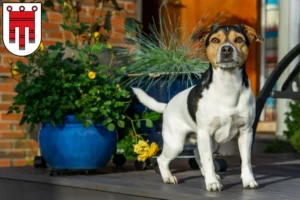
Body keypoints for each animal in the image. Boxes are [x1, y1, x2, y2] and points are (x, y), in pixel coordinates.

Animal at [132, 24, 262, 191]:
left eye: (238, 39)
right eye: (215, 40)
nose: (227, 49)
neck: (228, 85)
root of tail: (167, 105)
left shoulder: (245, 132)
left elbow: (246, 161)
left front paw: (248, 180)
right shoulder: (205, 133)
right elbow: (209, 160)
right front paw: (212, 183)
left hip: (211, 142)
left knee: (197, 153)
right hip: (176, 143)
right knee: (163, 159)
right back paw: (169, 177)